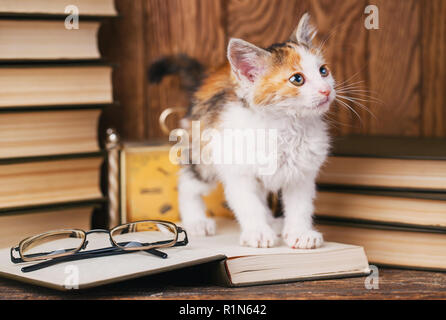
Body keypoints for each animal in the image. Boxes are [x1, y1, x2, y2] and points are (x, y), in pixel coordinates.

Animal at [150, 13, 334, 249]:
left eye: (323, 71)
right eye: (297, 79)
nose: (326, 90)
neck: (285, 126)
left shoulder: (302, 172)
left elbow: (300, 206)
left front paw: (299, 233)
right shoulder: (237, 170)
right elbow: (248, 204)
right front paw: (258, 232)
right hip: (203, 156)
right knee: (188, 184)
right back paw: (196, 221)